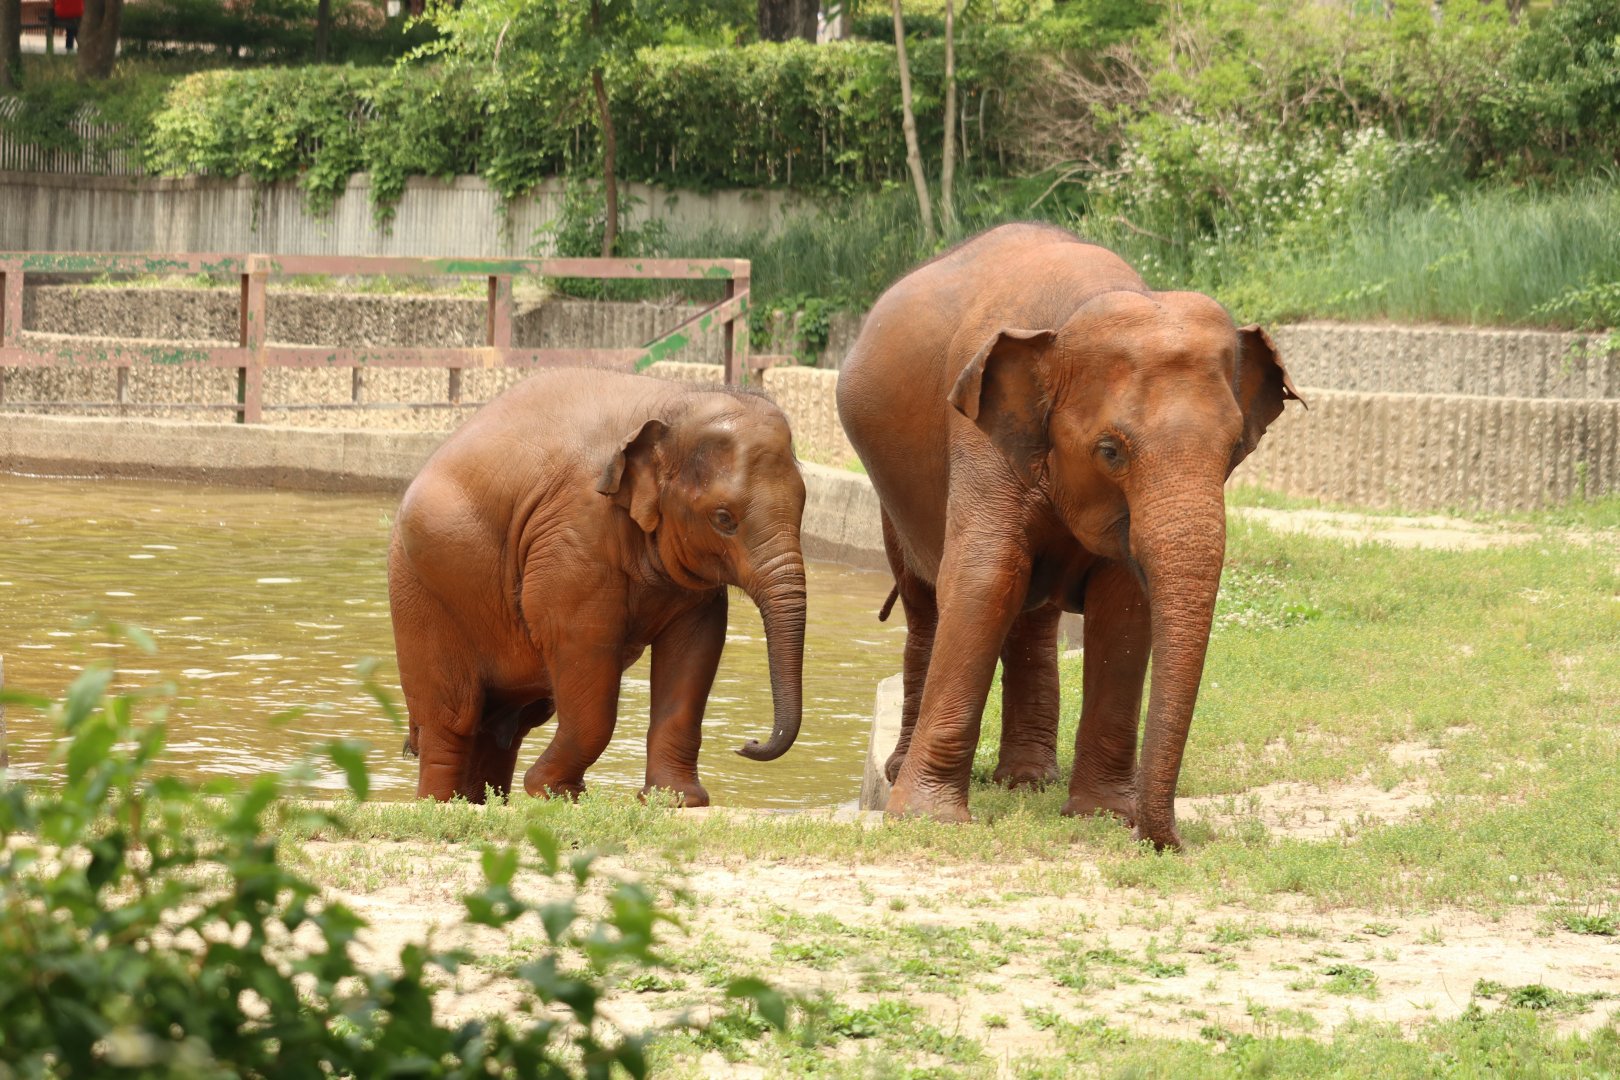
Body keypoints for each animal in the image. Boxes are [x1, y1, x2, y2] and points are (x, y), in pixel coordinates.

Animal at [388, 369, 808, 806]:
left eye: (804, 506)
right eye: (724, 518)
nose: (749, 743)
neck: (674, 404)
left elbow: (696, 645)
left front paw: (676, 800)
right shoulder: (575, 536)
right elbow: (585, 640)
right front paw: (555, 792)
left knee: (507, 726)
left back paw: (478, 802)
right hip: (422, 593)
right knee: (452, 720)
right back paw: (442, 803)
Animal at [836, 223, 1304, 849]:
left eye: (1233, 451)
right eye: (1110, 451)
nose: (1172, 843)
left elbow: (1124, 606)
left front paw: (1101, 814)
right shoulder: (979, 432)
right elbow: (984, 579)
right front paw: (927, 820)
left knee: (1031, 613)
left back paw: (1026, 781)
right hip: (891, 496)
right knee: (927, 602)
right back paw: (905, 771)